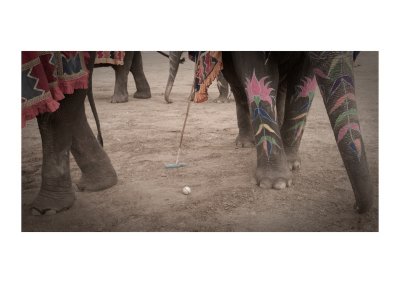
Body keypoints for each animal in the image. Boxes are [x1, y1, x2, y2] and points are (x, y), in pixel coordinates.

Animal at [219, 52, 372, 214]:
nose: (355, 206)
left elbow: (304, 81)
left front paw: (291, 165)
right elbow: (258, 72)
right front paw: (274, 184)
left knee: (280, 87)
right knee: (238, 87)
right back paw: (245, 144)